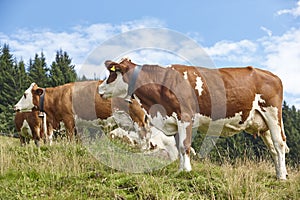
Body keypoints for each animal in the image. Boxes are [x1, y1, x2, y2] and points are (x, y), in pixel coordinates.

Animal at [98, 58, 288, 180]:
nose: (99, 89)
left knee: (279, 145)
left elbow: (185, 146)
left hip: (273, 115)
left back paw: (283, 177)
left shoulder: (185, 117)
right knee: (272, 149)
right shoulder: (174, 121)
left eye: (112, 74)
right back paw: (279, 173)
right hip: (263, 124)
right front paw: (180, 170)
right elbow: (178, 148)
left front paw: (187, 171)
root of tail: (273, 75)